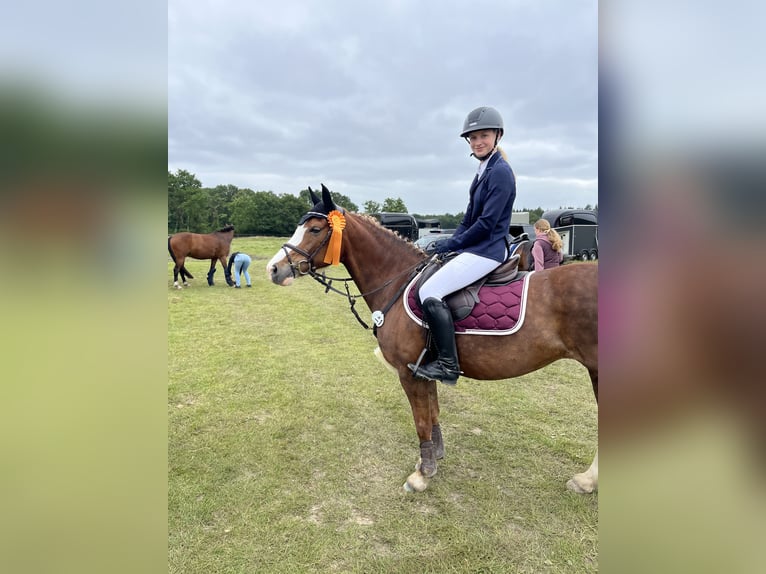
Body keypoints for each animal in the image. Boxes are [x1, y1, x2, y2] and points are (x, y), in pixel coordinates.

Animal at [270, 186, 600, 496]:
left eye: (315, 229)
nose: (273, 269)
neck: (398, 280)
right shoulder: (425, 370)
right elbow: (433, 414)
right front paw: (433, 459)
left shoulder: (409, 373)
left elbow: (420, 422)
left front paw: (422, 475)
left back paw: (586, 481)